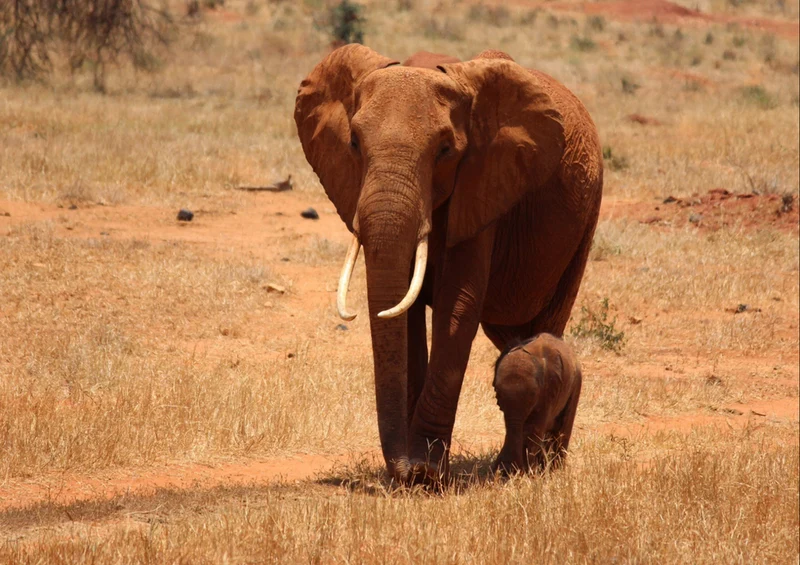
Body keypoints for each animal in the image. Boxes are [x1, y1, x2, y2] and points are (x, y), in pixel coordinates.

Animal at [492, 333, 582, 475]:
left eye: (533, 395)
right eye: (497, 392)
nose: (504, 470)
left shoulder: (548, 390)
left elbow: (533, 429)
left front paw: (532, 473)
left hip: (576, 383)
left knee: (563, 428)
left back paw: (556, 470)